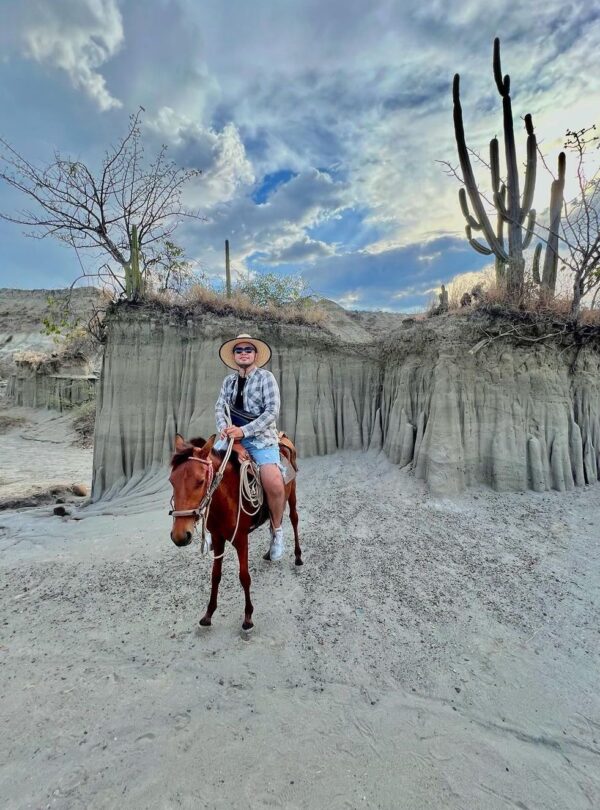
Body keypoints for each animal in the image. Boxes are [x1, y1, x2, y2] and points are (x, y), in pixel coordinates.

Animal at [169, 433, 302, 631]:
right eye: (171, 481)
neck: (227, 498)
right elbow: (215, 576)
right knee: (273, 522)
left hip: (291, 493)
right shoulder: (218, 539)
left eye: (200, 481)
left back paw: (297, 556)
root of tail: (283, 438)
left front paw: (248, 617)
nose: (180, 536)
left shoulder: (241, 539)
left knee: (294, 520)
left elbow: (244, 577)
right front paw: (208, 614)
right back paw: (270, 551)